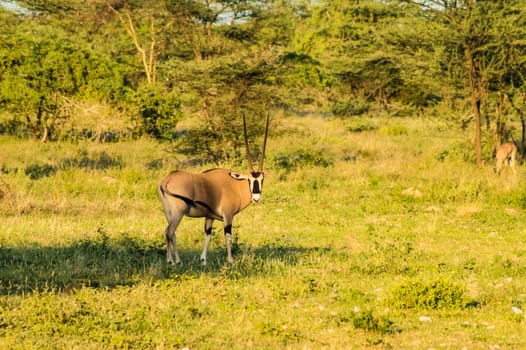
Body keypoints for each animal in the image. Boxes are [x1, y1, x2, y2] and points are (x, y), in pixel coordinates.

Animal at [158, 115, 270, 266]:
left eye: (262, 179)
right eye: (249, 180)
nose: (256, 198)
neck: (235, 185)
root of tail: (166, 181)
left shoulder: (209, 217)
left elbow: (207, 235)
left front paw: (203, 260)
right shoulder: (228, 215)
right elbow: (228, 236)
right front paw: (230, 260)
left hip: (168, 212)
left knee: (172, 233)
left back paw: (176, 260)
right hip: (178, 212)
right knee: (169, 231)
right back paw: (172, 261)